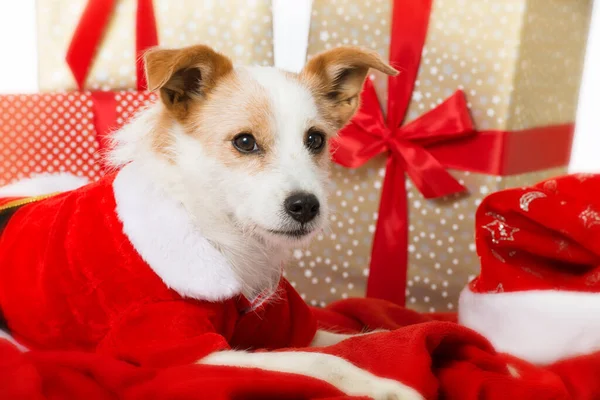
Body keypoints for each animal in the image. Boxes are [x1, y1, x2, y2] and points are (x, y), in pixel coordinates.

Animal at [0, 44, 422, 400]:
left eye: (315, 139)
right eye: (245, 142)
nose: (306, 206)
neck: (215, 230)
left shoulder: (281, 324)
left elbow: (342, 338)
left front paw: (381, 338)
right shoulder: (190, 353)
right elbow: (321, 361)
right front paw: (386, 386)